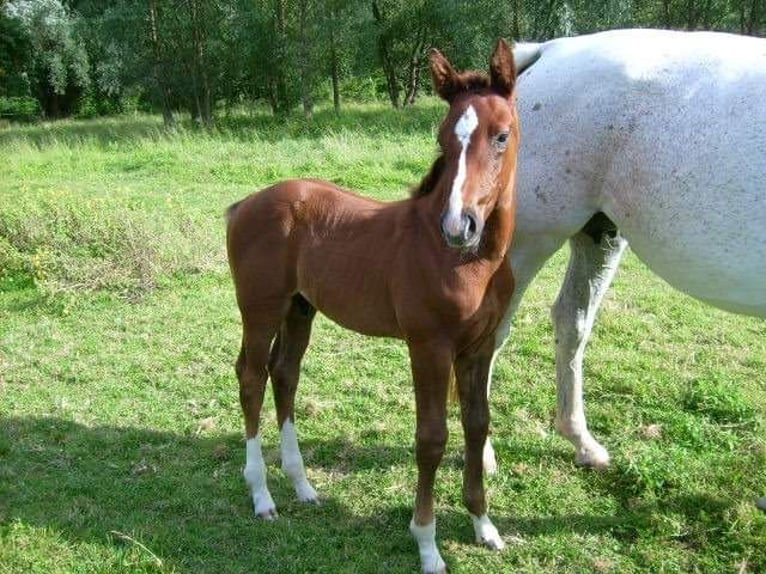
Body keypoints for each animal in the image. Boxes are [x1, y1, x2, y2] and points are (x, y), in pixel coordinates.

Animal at [226, 40, 520, 573]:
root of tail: (244, 204)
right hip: (260, 310)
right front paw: (427, 544)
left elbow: (476, 425)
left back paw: (303, 486)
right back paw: (262, 496)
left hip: (299, 309)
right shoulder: (429, 346)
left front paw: (484, 525)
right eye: (443, 138)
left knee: (284, 374)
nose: (458, 225)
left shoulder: (479, 347)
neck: (471, 261)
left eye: (502, 136)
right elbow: (431, 439)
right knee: (252, 378)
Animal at [482, 29, 765, 509]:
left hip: (601, 235)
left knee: (571, 322)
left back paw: (582, 443)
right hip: (526, 244)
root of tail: (549, 51)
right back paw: (481, 455)